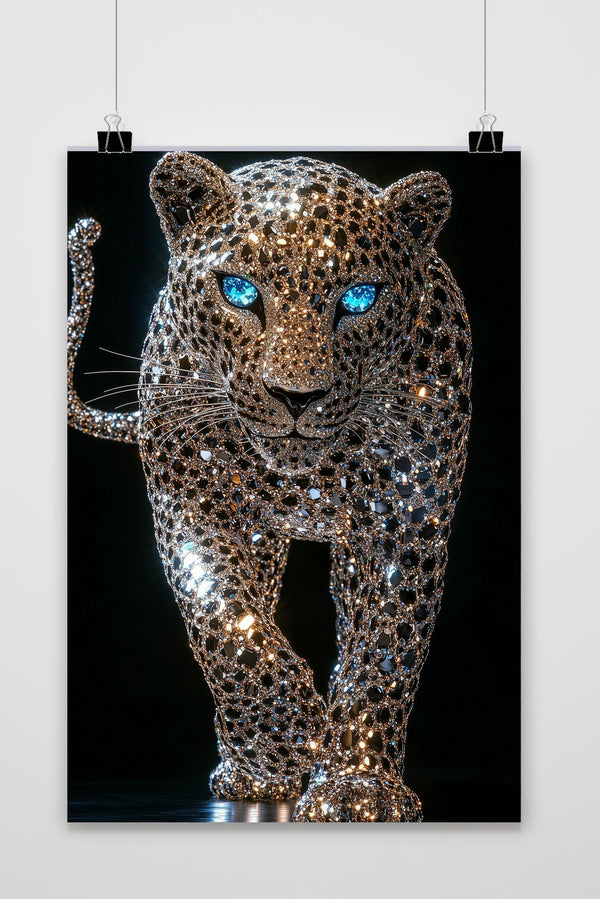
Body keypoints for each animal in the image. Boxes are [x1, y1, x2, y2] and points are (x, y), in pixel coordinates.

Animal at [67, 151, 472, 822]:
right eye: (239, 291)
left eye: (359, 297)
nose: (296, 397)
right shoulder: (191, 500)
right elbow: (223, 623)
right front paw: (298, 733)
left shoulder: (406, 518)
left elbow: (384, 647)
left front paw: (356, 787)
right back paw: (256, 767)